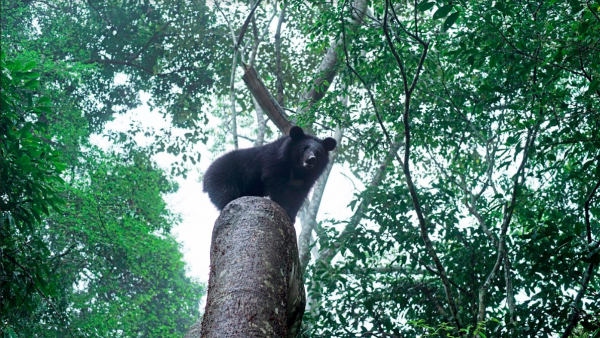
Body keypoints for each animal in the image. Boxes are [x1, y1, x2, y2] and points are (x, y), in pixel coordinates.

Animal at [204, 125, 338, 220]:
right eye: (304, 148)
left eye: (318, 153)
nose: (311, 160)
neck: (297, 169)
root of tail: (205, 177)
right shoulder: (274, 163)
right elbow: (276, 183)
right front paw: (284, 207)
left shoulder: (306, 180)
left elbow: (299, 195)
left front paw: (292, 214)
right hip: (223, 178)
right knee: (226, 195)